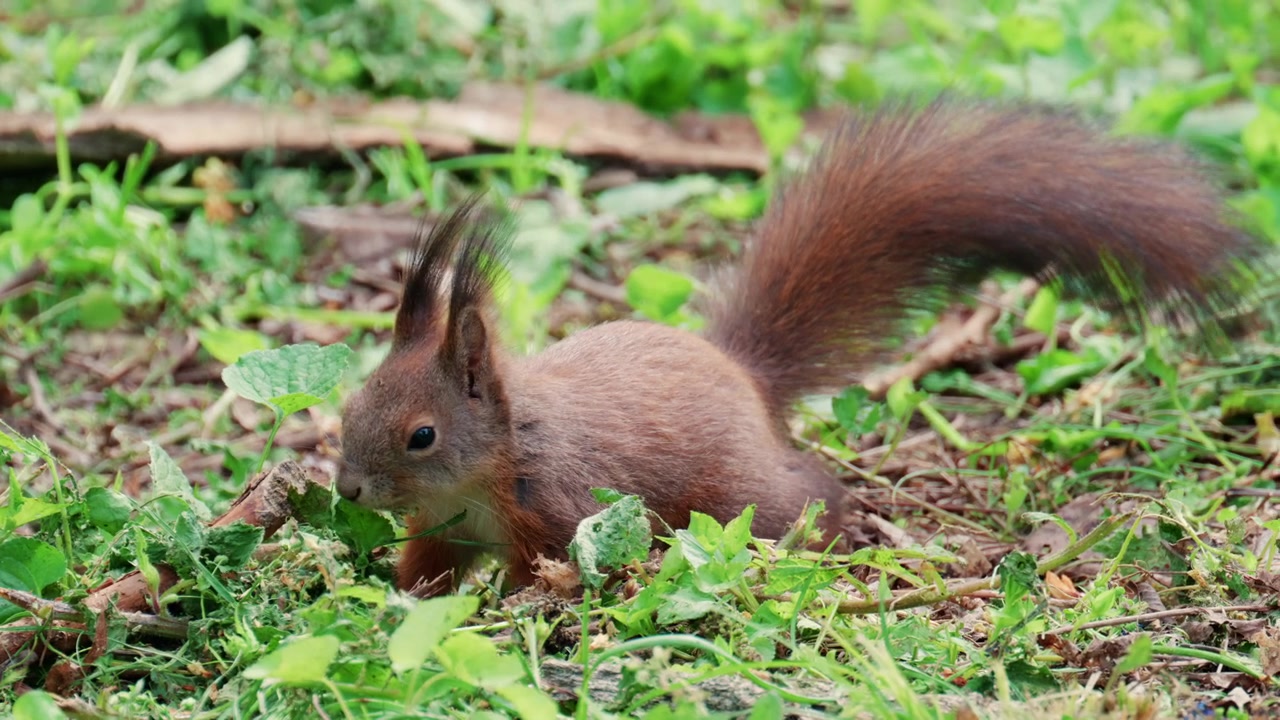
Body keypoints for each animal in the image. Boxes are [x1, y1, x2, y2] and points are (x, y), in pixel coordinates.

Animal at [335, 97, 1264, 595]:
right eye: (347, 406)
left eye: (421, 435)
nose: (346, 489)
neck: (490, 464)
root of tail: (742, 375)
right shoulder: (444, 528)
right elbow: (425, 570)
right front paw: (389, 597)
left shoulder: (559, 507)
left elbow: (548, 571)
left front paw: (515, 611)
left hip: (737, 494)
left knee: (805, 497)